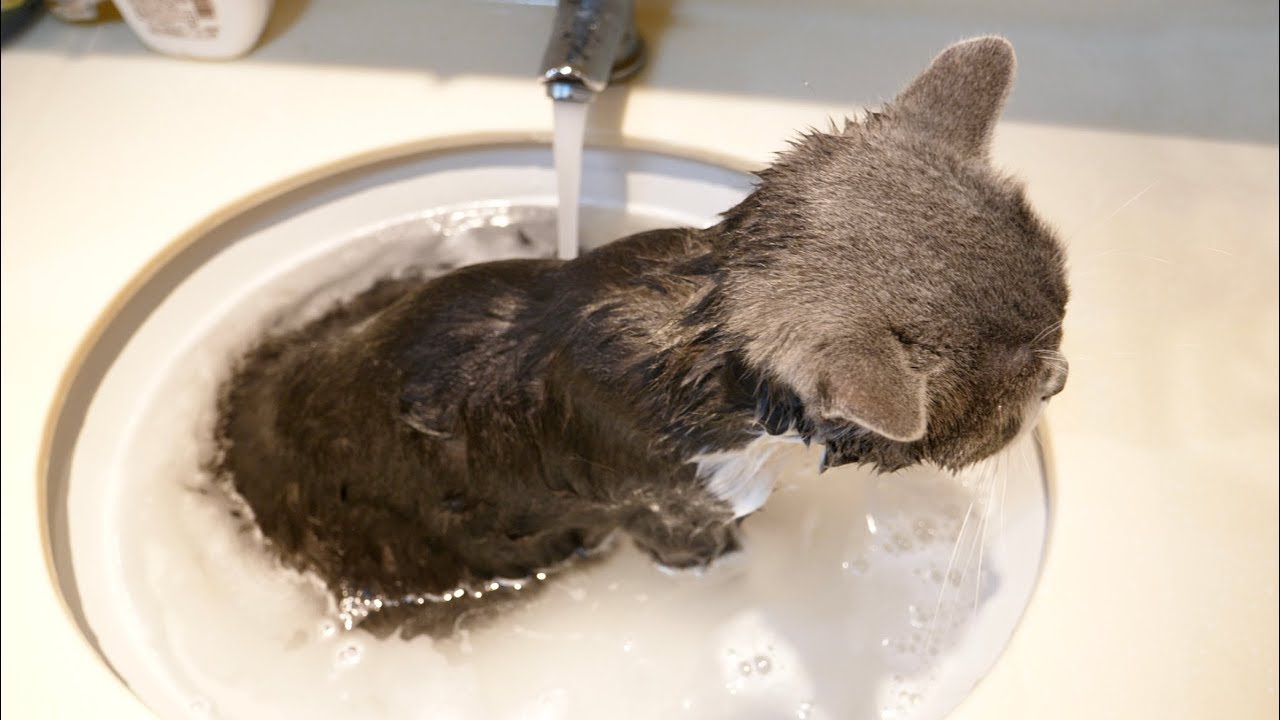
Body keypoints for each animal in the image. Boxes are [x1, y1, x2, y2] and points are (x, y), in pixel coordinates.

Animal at [212, 36, 1070, 635]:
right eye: (1006, 410)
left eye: (1065, 309)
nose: (1059, 380)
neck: (695, 335)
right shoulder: (677, 502)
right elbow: (706, 549)